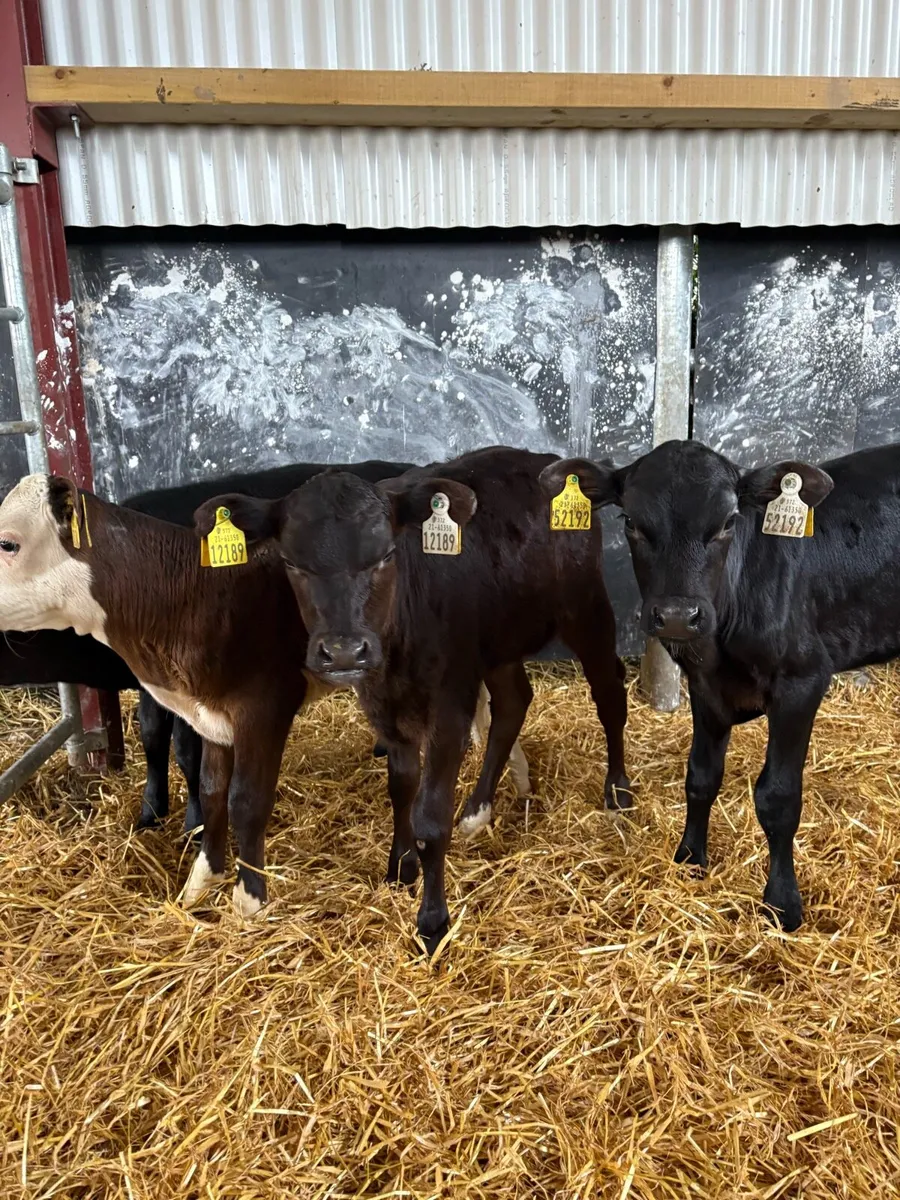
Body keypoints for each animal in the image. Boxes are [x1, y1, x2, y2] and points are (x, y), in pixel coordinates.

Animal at [0, 472, 528, 921]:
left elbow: (246, 800)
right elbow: (210, 788)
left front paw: (249, 899)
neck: (194, 593)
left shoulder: (264, 707)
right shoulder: (207, 710)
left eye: (8, 542)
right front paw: (201, 880)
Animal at [195, 445, 631, 955]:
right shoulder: (384, 707)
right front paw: (400, 868)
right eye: (292, 563)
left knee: (608, 693)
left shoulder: (449, 705)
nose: (344, 651)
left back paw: (618, 791)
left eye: (385, 555)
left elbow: (430, 817)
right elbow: (402, 786)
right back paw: (478, 811)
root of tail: (545, 460)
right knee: (514, 703)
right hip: (496, 644)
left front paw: (432, 922)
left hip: (586, 607)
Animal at [536, 438, 900, 934]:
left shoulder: (802, 680)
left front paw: (782, 903)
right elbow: (701, 776)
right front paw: (690, 858)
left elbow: (778, 797)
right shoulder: (705, 688)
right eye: (630, 521)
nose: (676, 616)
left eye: (729, 521)